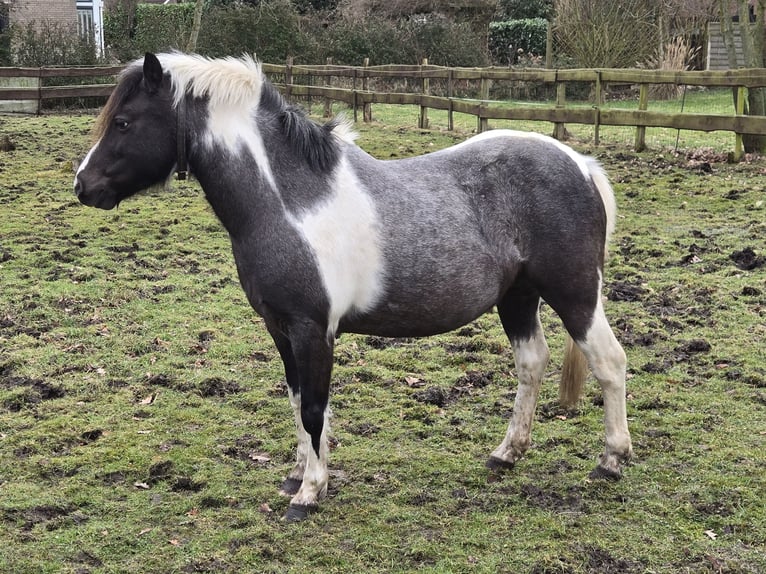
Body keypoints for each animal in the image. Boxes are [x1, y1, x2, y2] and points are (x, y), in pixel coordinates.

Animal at [74, 52, 632, 522]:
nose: (83, 186)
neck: (290, 202)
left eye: (123, 123)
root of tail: (582, 166)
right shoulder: (281, 330)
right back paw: (506, 454)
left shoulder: (312, 329)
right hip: (517, 297)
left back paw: (610, 460)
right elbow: (297, 400)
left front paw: (308, 494)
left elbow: (314, 408)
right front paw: (298, 475)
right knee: (532, 363)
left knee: (609, 361)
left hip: (575, 295)